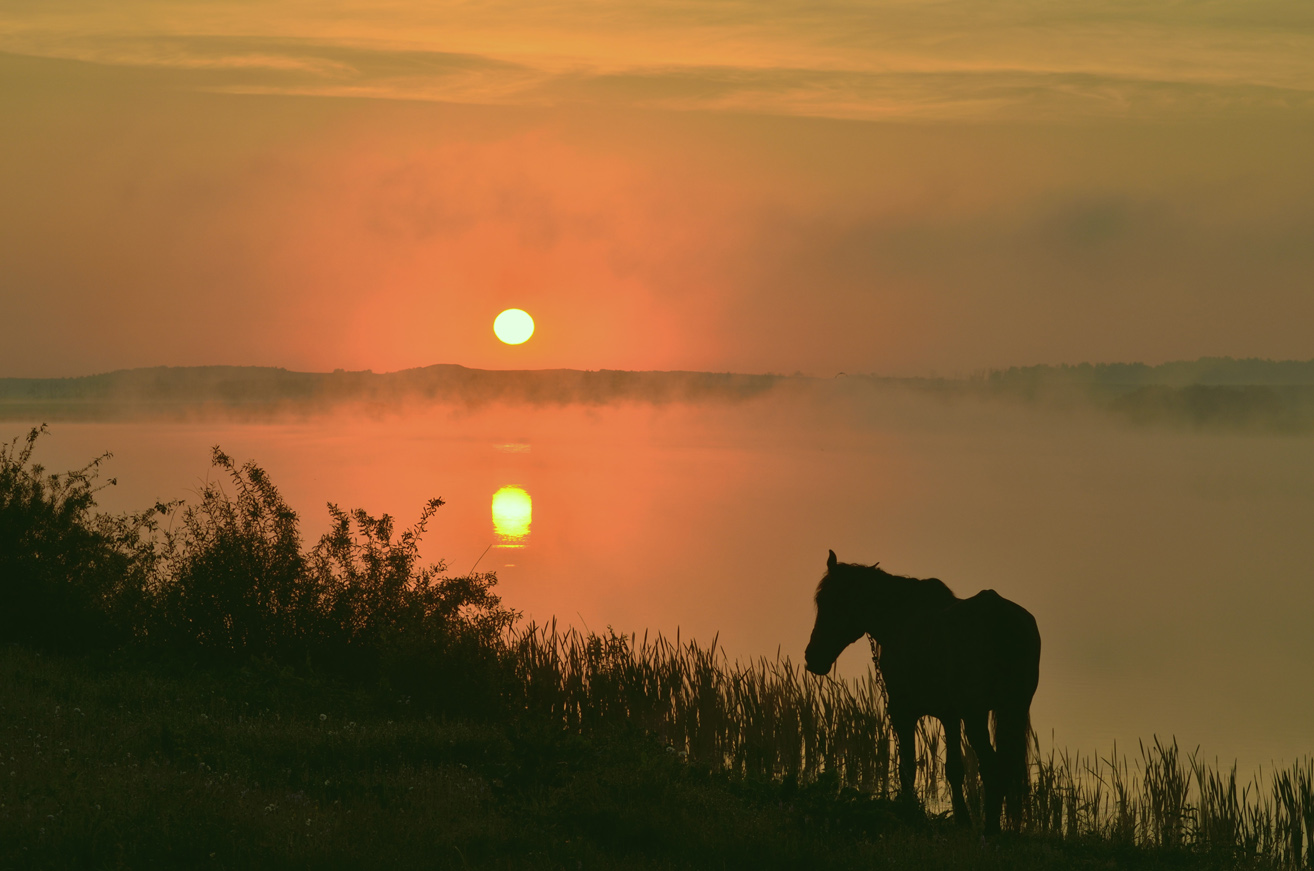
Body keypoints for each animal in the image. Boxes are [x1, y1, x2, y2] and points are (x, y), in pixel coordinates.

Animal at [798, 551, 1035, 830]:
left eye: (830, 601)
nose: (813, 657)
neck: (900, 617)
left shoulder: (903, 710)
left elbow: (908, 766)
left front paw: (909, 812)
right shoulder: (950, 714)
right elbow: (954, 769)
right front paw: (962, 821)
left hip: (976, 713)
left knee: (991, 766)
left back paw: (990, 829)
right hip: (1012, 708)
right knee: (1006, 765)